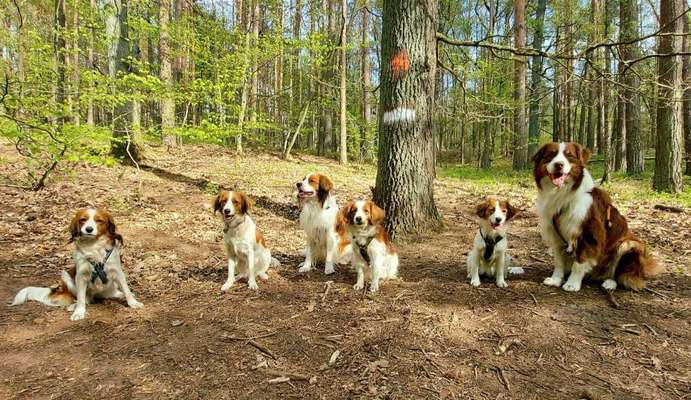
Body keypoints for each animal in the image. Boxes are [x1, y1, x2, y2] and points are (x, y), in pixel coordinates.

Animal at [11, 208, 143, 320]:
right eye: (83, 219)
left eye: (99, 221)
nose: (89, 229)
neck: (93, 245)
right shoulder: (80, 276)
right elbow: (80, 298)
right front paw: (79, 312)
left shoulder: (117, 271)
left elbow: (126, 289)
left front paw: (133, 303)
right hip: (66, 276)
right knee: (83, 299)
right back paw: (74, 306)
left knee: (113, 293)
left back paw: (119, 294)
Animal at [532, 142, 664, 292]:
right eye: (551, 155)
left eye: (569, 156)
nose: (558, 165)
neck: (563, 195)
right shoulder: (555, 234)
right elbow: (559, 261)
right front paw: (555, 279)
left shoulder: (589, 234)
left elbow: (579, 262)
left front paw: (572, 284)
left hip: (628, 244)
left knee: (620, 274)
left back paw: (610, 282)